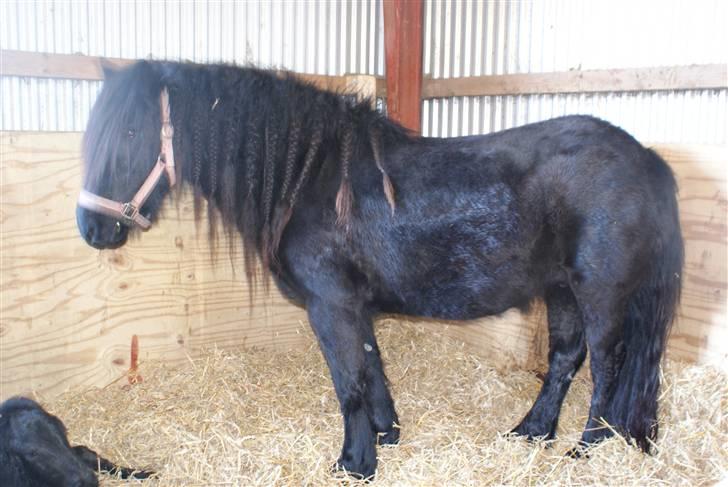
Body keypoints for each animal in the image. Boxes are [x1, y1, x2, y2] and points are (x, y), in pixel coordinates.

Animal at [76, 60, 683, 479]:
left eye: (130, 133)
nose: (92, 228)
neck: (310, 178)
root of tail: (646, 158)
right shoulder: (354, 306)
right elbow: (372, 369)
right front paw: (386, 437)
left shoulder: (331, 305)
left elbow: (348, 382)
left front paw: (354, 462)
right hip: (561, 291)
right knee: (563, 361)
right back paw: (531, 433)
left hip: (599, 294)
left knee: (607, 368)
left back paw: (587, 450)